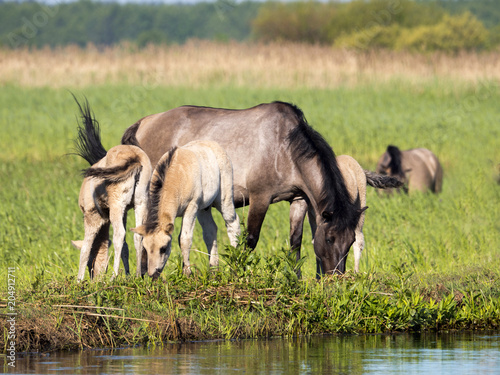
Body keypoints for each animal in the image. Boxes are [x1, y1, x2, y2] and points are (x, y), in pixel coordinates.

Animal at [131, 141, 240, 280]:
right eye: (145, 247)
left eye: (163, 248)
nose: (153, 274)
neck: (176, 176)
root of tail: (213, 144)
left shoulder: (191, 207)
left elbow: (184, 239)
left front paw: (187, 272)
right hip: (203, 208)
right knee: (210, 231)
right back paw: (214, 270)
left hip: (224, 199)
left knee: (232, 223)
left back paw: (236, 265)